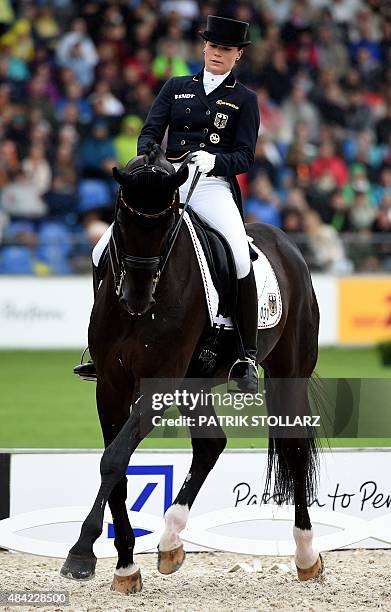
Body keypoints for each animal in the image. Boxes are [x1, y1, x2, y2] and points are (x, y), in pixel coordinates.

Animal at [59, 145, 324, 592]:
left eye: (168, 225)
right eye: (122, 220)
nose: (136, 297)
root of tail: (287, 243)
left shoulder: (157, 383)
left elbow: (114, 459)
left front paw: (81, 553)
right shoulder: (111, 384)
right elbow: (117, 466)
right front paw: (125, 566)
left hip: (289, 373)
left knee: (295, 448)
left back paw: (306, 556)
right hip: (193, 384)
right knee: (211, 444)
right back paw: (169, 541)